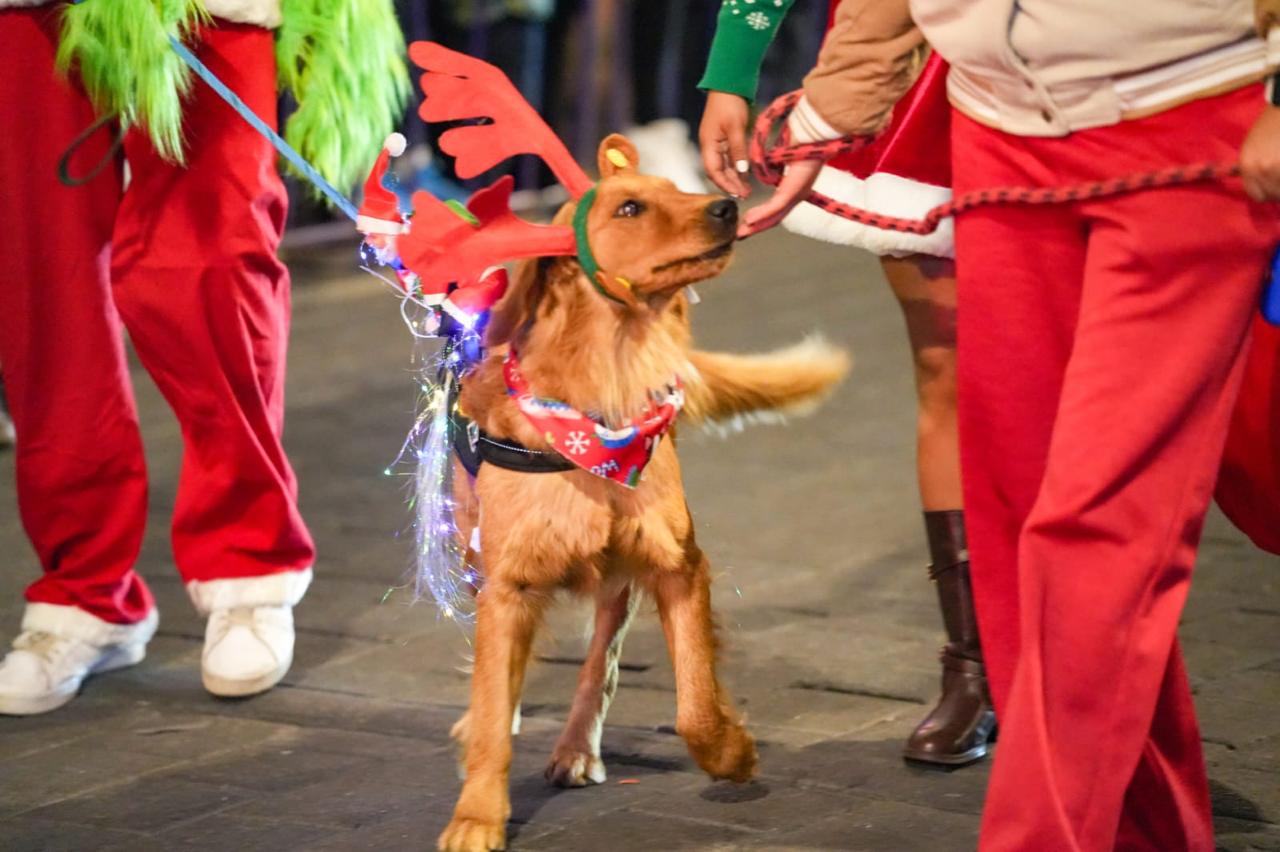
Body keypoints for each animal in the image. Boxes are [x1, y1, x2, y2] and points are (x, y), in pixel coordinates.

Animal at [436, 133, 849, 852]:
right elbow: (492, 707)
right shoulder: (509, 583)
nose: (726, 205)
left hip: (618, 576)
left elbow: (694, 705)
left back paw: (577, 747)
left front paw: (732, 752)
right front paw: (477, 815)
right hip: (474, 553)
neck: (606, 395)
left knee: (599, 665)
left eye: (678, 189)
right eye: (629, 207)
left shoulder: (678, 565)